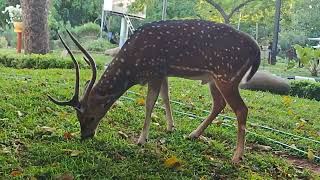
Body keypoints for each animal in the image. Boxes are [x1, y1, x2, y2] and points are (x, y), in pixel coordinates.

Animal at [48, 19, 262, 162]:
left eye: (91, 117)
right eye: (78, 118)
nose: (85, 136)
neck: (134, 66)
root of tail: (257, 50)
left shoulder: (155, 70)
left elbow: (150, 103)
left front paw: (142, 139)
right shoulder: (163, 72)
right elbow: (166, 97)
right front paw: (170, 127)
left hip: (227, 76)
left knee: (241, 109)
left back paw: (237, 156)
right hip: (214, 79)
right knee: (219, 104)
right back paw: (193, 134)